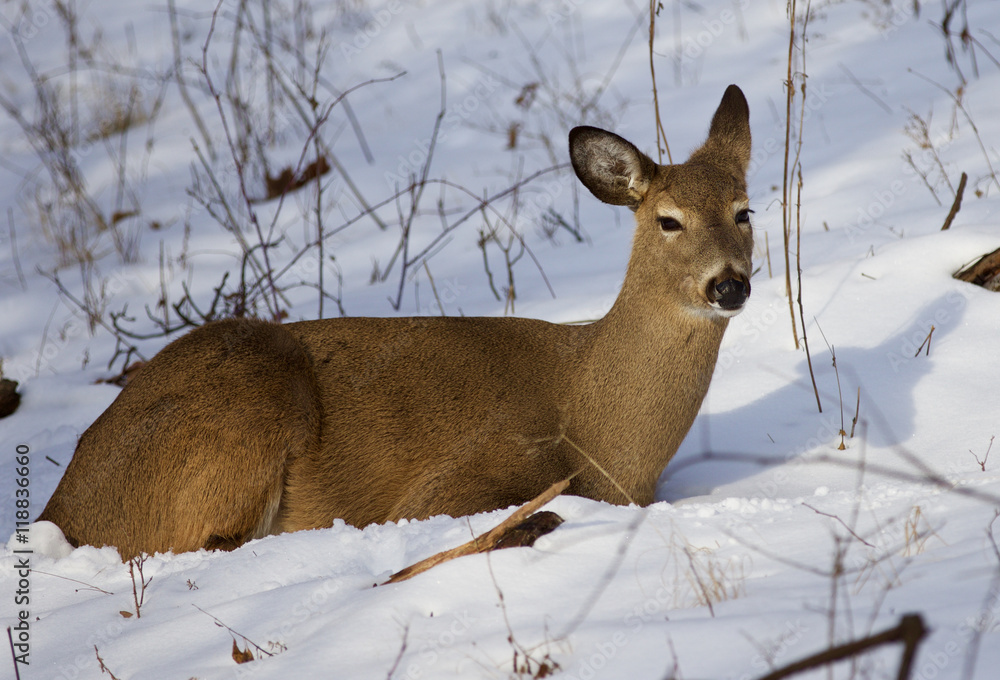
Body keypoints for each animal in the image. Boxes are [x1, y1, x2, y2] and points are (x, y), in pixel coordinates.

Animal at [38, 85, 754, 559]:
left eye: (744, 210)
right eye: (667, 220)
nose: (729, 284)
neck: (600, 436)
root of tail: (63, 505)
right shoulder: (455, 481)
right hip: (243, 407)